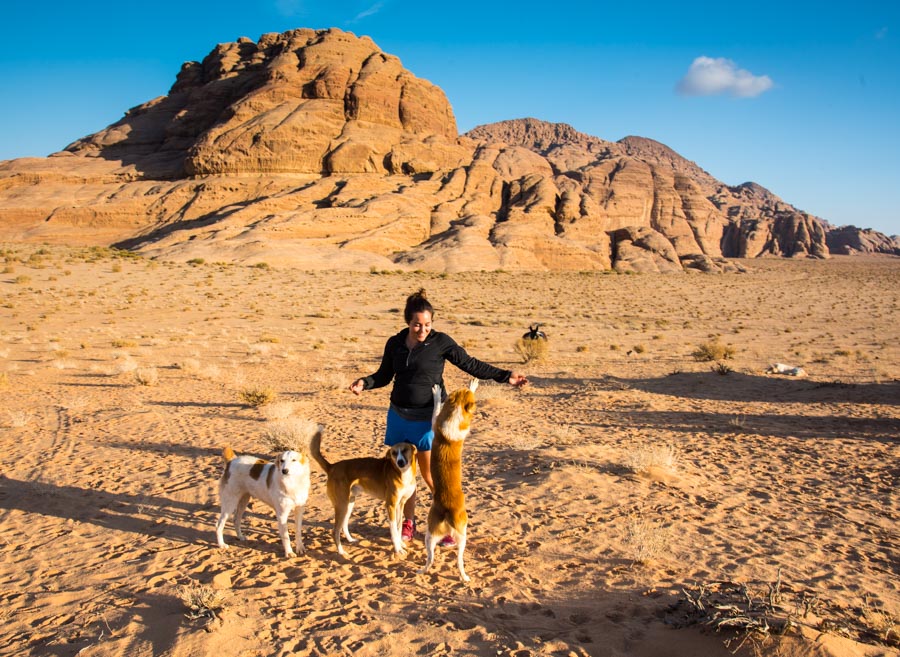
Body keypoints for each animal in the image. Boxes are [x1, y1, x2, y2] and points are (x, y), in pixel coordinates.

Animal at [310, 428, 418, 556]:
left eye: (405, 450)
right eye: (394, 453)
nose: (400, 462)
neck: (402, 473)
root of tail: (332, 467)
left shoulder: (400, 504)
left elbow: (399, 527)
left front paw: (401, 544)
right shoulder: (391, 505)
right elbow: (393, 530)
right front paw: (397, 548)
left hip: (349, 503)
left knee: (344, 524)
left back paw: (350, 540)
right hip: (342, 505)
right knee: (335, 530)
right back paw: (341, 551)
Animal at [420, 376, 482, 580]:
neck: (456, 412)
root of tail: (448, 511)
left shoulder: (435, 421)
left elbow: (436, 405)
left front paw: (438, 392)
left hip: (431, 534)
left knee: (432, 559)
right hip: (457, 536)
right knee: (455, 560)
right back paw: (464, 577)